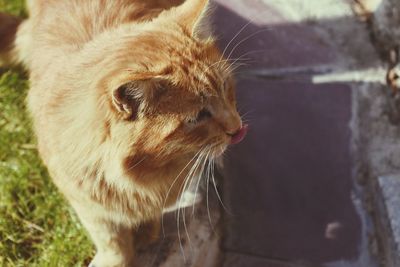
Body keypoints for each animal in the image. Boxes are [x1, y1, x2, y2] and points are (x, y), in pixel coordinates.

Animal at [0, 0, 247, 266]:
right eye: (197, 117)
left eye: (224, 87)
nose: (237, 129)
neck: (143, 175)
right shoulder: (88, 205)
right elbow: (112, 241)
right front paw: (118, 256)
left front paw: (147, 231)